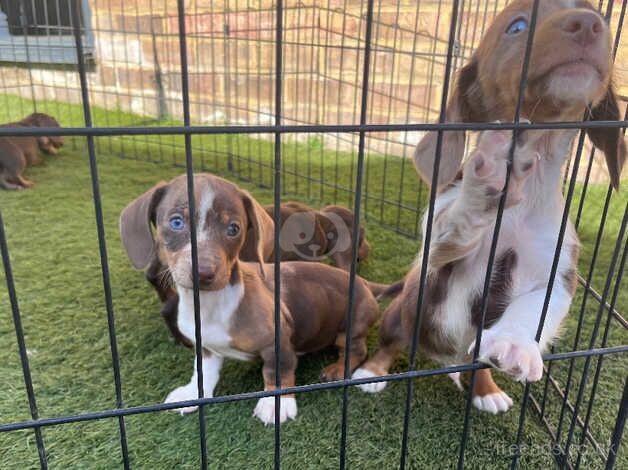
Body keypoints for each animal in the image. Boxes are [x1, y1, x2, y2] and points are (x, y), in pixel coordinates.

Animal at [118, 173, 382, 426]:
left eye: (233, 229)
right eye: (176, 222)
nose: (203, 273)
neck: (210, 305)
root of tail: (364, 283)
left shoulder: (278, 339)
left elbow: (277, 371)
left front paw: (276, 404)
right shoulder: (205, 348)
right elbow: (202, 372)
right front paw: (192, 393)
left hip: (350, 328)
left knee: (357, 350)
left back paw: (337, 368)